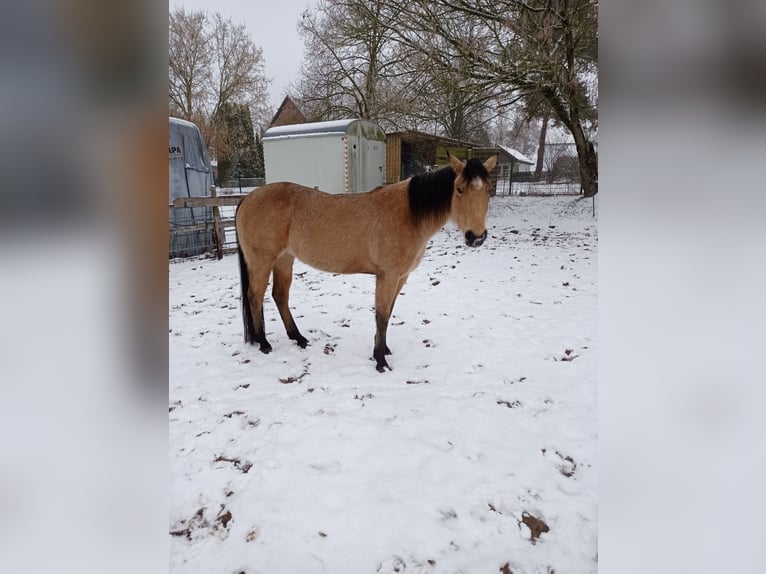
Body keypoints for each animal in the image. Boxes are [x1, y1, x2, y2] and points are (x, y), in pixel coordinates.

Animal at [235, 152, 498, 372]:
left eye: (488, 189)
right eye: (459, 189)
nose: (476, 237)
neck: (409, 215)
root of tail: (248, 198)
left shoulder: (401, 277)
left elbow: (389, 313)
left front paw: (383, 350)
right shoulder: (388, 276)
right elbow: (381, 316)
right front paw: (380, 361)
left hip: (284, 260)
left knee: (279, 296)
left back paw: (298, 338)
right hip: (262, 261)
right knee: (255, 296)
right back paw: (263, 343)